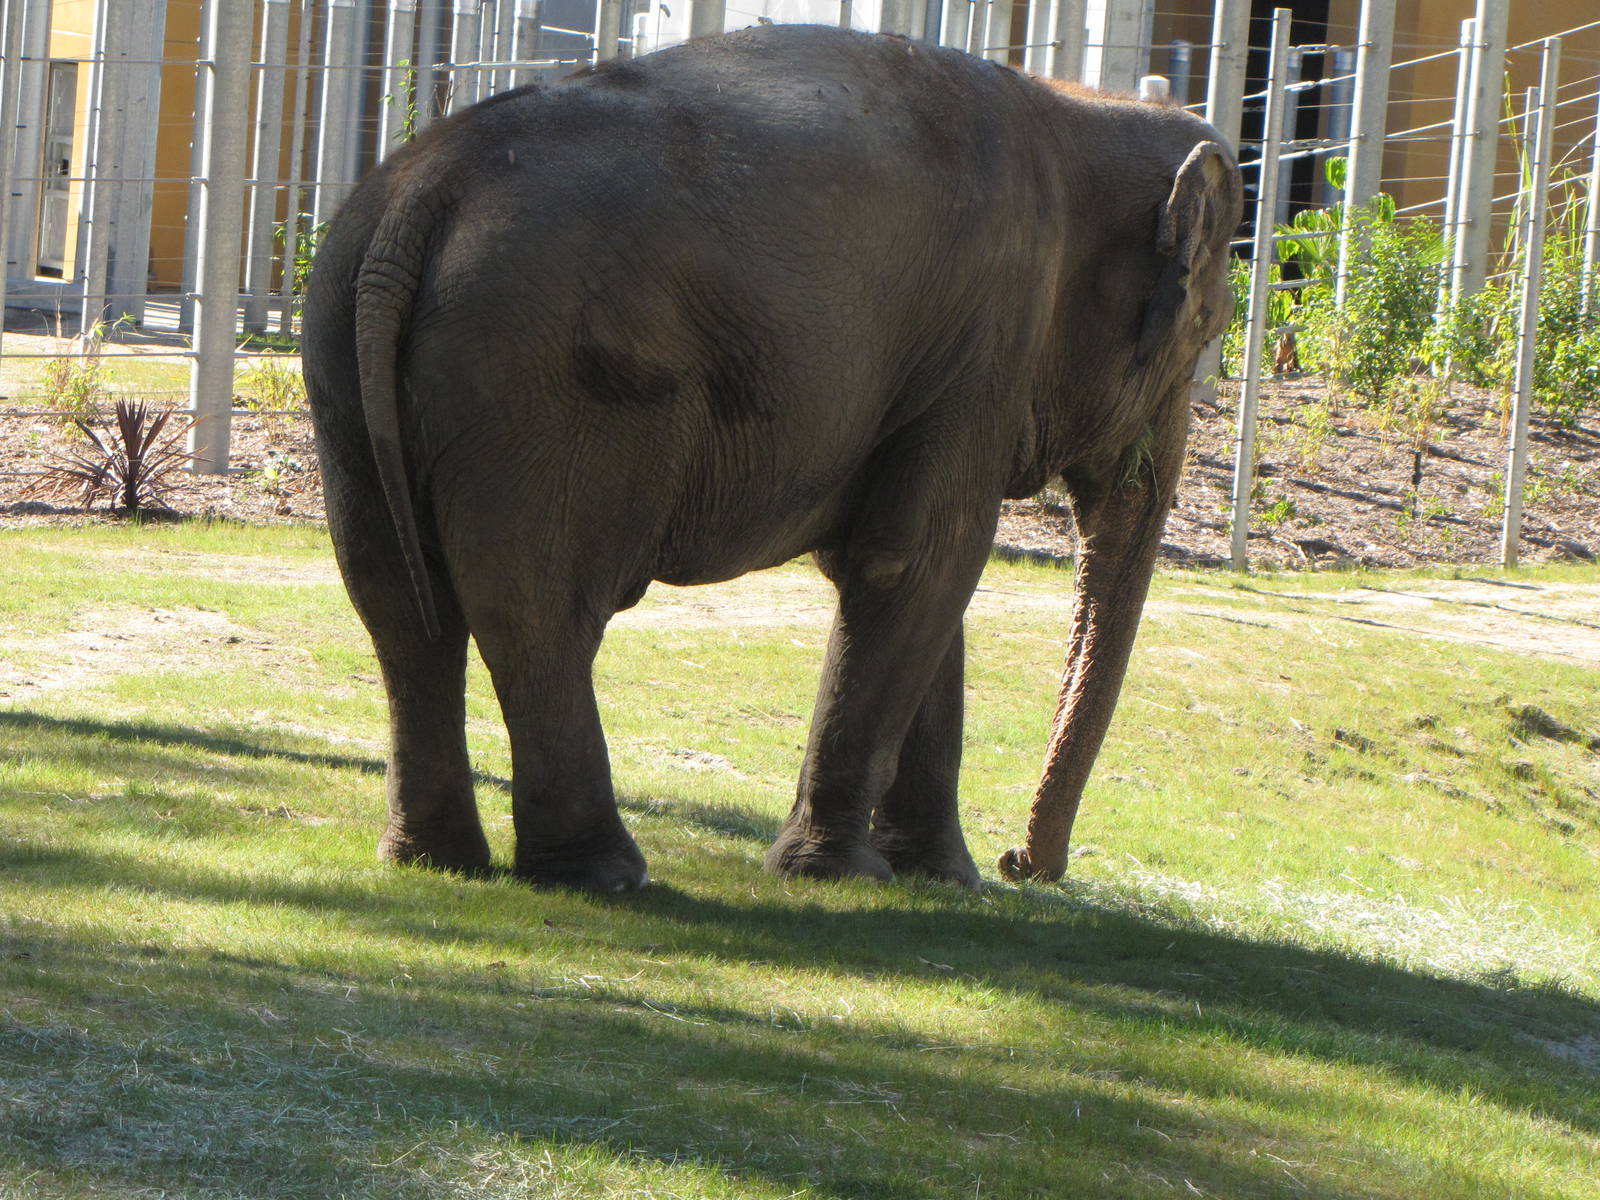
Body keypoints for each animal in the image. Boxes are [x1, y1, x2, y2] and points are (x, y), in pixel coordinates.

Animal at [301, 24, 1242, 893]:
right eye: (1208, 328)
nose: (1024, 864)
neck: (1076, 112)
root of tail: (423, 194)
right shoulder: (987, 339)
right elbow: (919, 561)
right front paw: (843, 874)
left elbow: (922, 581)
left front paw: (939, 877)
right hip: (542, 387)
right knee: (536, 606)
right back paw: (605, 874)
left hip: (343, 358)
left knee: (397, 603)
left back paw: (436, 859)